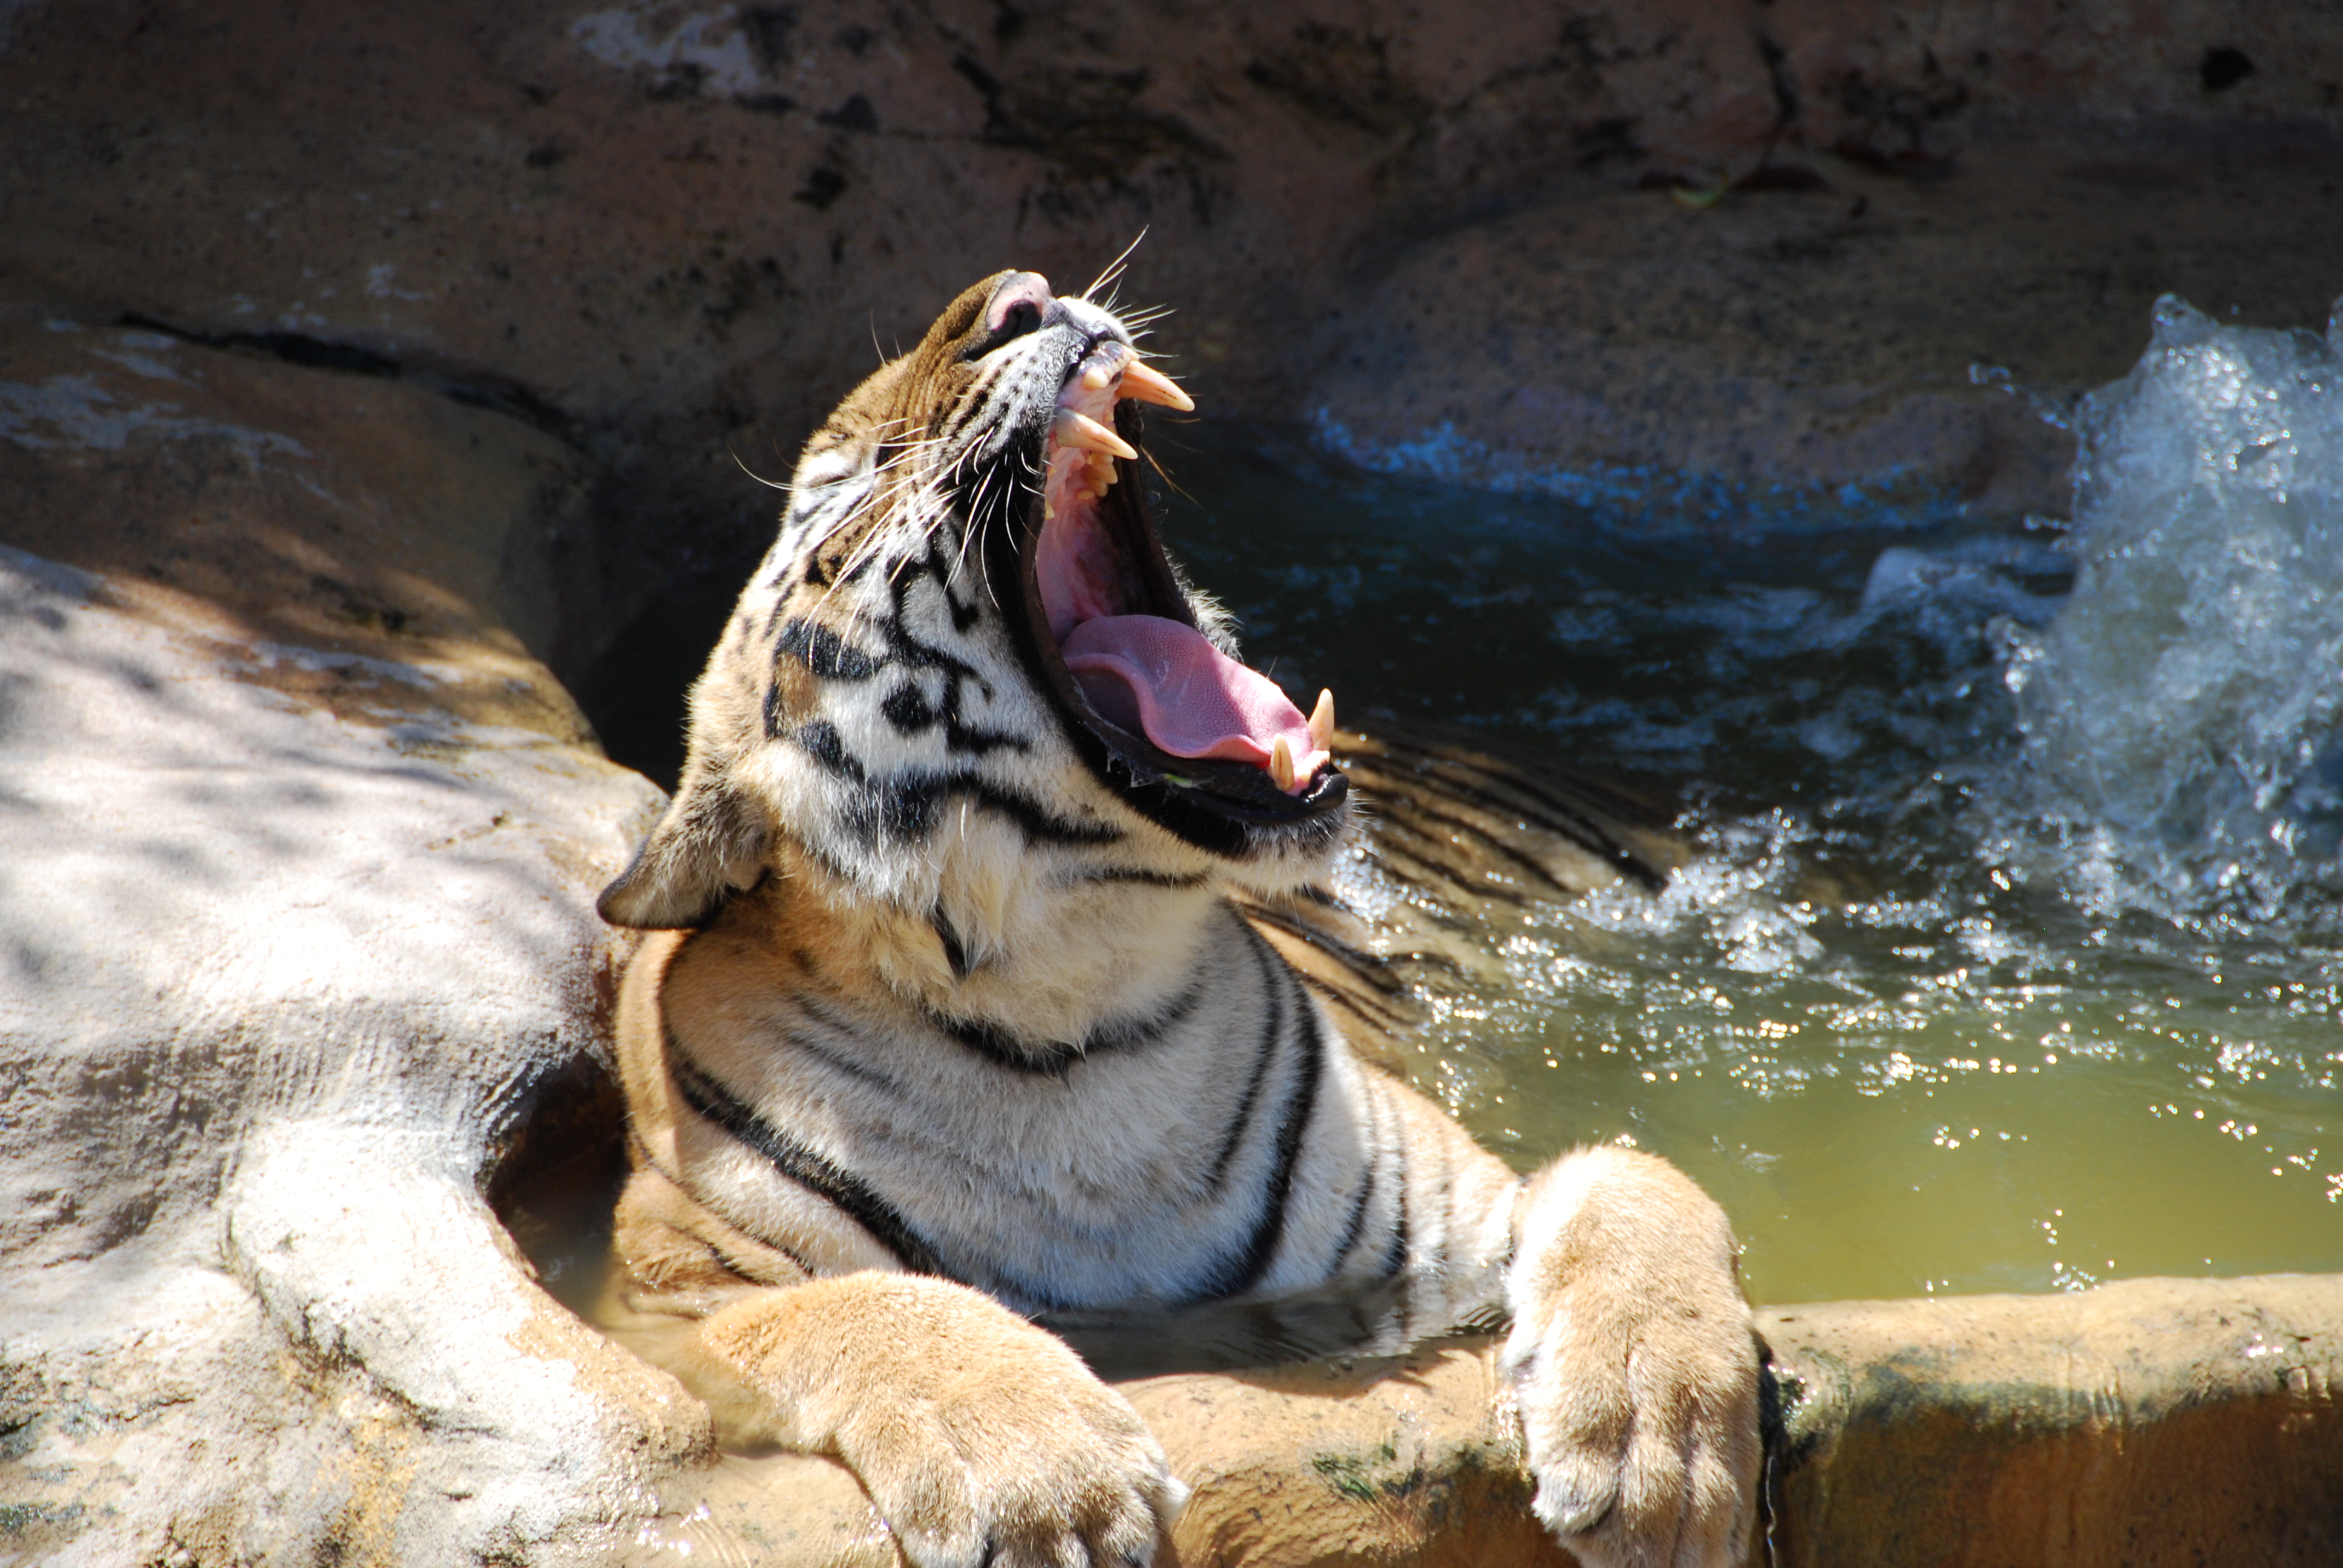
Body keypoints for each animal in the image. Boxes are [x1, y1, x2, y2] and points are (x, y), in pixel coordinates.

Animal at [595, 269, 1761, 1566]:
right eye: (864, 472)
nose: (1017, 295)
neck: (1072, 1002)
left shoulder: (1458, 1218)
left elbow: (1628, 1176)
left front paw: (1659, 1453)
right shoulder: (656, 1300)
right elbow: (854, 1306)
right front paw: (1045, 1483)